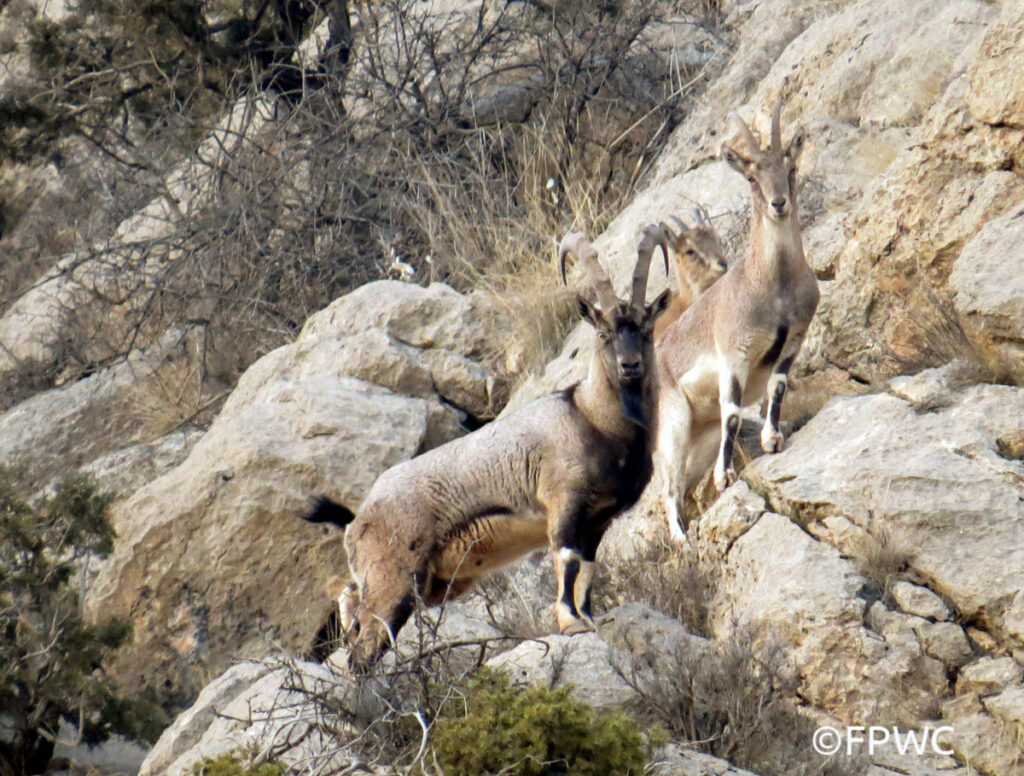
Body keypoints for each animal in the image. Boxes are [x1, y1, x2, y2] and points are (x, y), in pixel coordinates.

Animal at [305, 228, 671, 671]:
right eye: (604, 334)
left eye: (646, 329)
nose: (630, 366)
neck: (592, 418)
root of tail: (358, 519)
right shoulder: (563, 501)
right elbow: (566, 560)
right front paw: (569, 623)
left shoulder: (597, 521)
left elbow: (585, 571)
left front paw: (587, 619)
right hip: (393, 579)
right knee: (364, 648)